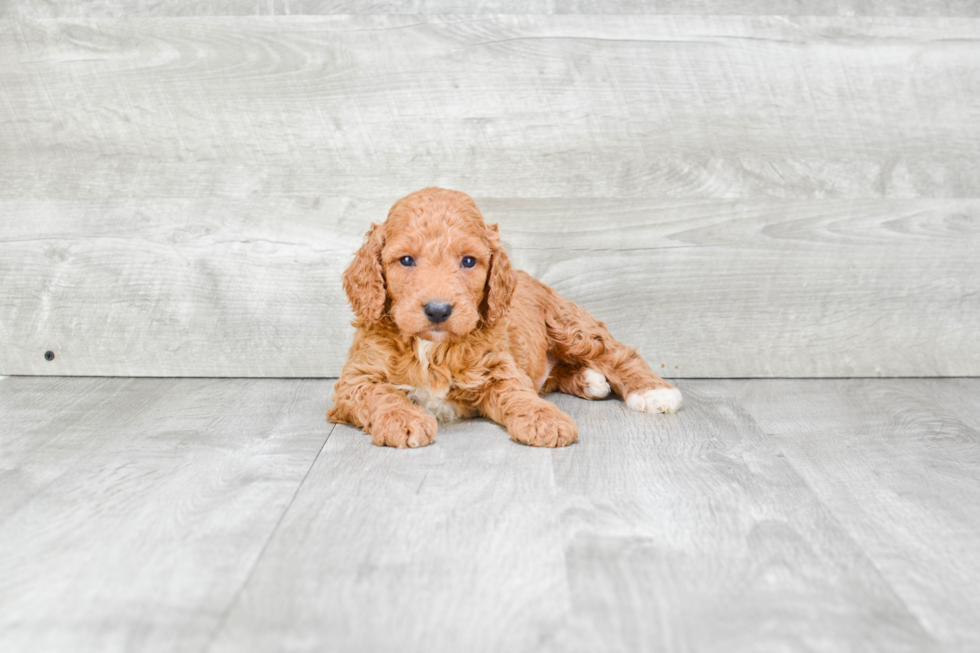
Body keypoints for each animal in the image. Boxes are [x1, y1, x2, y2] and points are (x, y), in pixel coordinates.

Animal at [330, 186, 680, 446]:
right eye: (405, 260)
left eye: (468, 261)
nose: (438, 310)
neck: (431, 348)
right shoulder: (355, 378)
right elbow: (379, 393)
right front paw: (404, 419)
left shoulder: (498, 366)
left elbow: (519, 393)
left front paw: (546, 419)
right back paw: (589, 380)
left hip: (568, 325)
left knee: (616, 352)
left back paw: (652, 390)